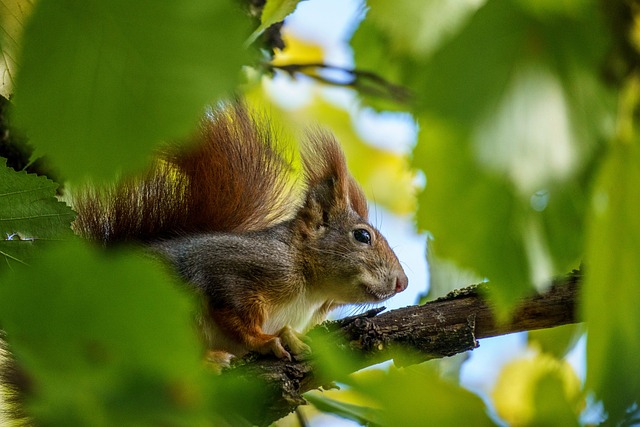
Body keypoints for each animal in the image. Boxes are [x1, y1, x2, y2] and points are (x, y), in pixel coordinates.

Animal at [72, 102, 408, 362]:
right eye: (362, 236)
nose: (402, 282)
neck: (310, 291)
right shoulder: (231, 272)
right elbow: (234, 315)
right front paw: (267, 340)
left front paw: (288, 335)